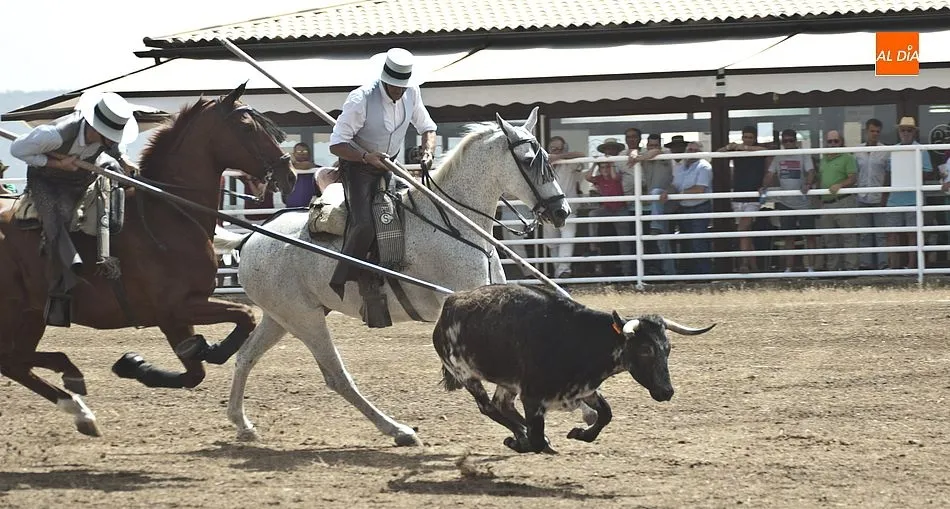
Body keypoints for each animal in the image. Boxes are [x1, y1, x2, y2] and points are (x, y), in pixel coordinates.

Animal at [0, 84, 296, 436]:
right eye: (247, 127)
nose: (290, 174)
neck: (168, 214)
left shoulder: (181, 314)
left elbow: (196, 369)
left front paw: (139, 363)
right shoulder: (174, 309)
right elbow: (243, 317)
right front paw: (205, 351)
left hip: (31, 314)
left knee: (15, 361)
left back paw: (79, 405)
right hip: (14, 312)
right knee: (11, 360)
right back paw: (73, 385)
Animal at [208, 107, 572, 446]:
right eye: (529, 160)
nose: (561, 211)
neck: (456, 223)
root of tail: (250, 238)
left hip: (280, 317)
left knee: (246, 356)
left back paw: (242, 423)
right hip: (304, 319)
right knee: (337, 377)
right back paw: (398, 430)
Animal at [432, 283, 715, 453]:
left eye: (668, 348)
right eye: (646, 349)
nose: (667, 391)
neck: (578, 339)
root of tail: (451, 302)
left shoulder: (584, 389)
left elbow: (605, 414)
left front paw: (580, 433)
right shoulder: (532, 397)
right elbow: (536, 440)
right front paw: (522, 441)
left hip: (507, 382)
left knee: (502, 405)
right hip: (465, 374)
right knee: (488, 407)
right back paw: (520, 435)